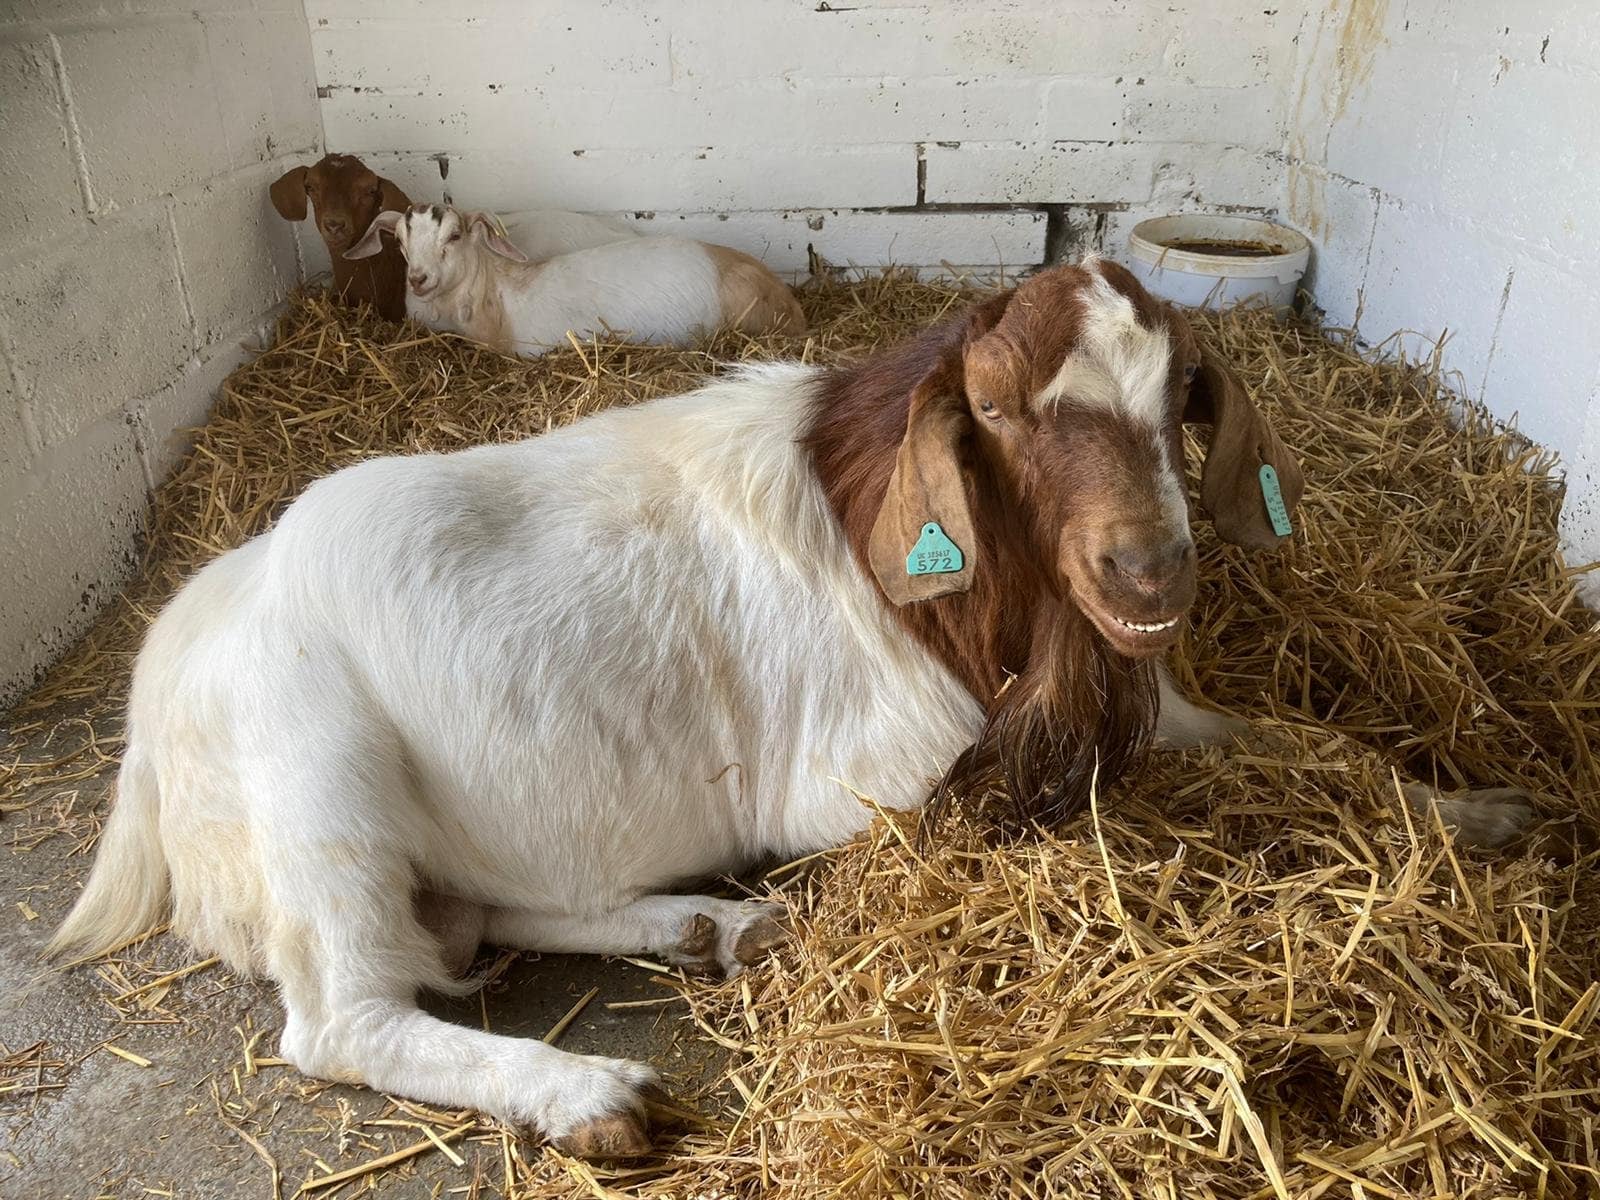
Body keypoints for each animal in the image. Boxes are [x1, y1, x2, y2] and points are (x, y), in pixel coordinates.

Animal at [50, 259, 1529, 1158]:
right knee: (346, 1014)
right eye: (998, 411)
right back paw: (589, 1093)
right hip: (318, 788)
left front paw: (1486, 805)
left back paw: (709, 926)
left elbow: (1304, 744)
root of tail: (167, 667)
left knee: (481, 914)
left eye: (1178, 402)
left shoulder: (1149, 704)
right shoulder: (891, 780)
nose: (1149, 569)